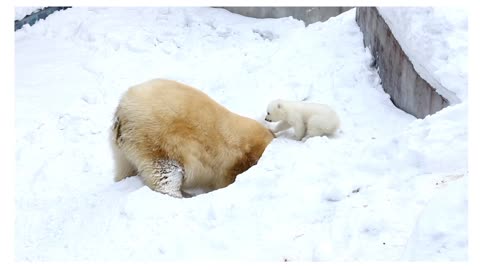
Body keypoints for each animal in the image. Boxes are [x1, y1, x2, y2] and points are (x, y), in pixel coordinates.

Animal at [111, 79, 274, 197]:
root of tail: (123, 111)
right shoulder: (232, 162)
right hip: (157, 138)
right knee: (166, 173)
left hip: (123, 146)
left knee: (125, 167)